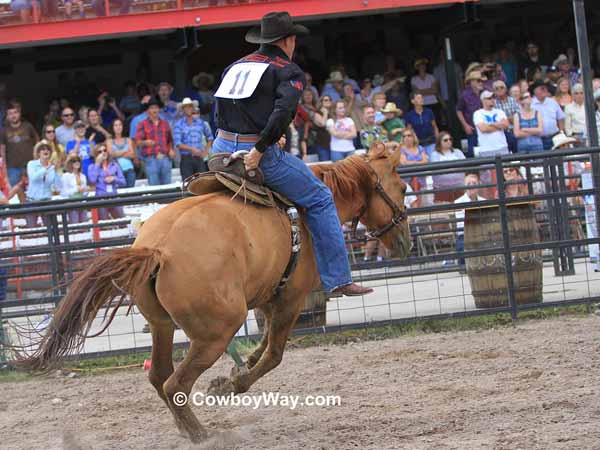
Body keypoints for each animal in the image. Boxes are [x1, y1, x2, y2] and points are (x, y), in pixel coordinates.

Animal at [19, 142, 412, 442]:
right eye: (404, 188)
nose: (405, 243)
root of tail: (158, 249)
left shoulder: (269, 294)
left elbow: (263, 341)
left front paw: (236, 370)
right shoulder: (291, 297)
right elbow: (274, 353)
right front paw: (229, 384)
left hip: (162, 324)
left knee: (159, 375)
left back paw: (187, 427)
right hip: (216, 332)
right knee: (174, 382)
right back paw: (199, 434)